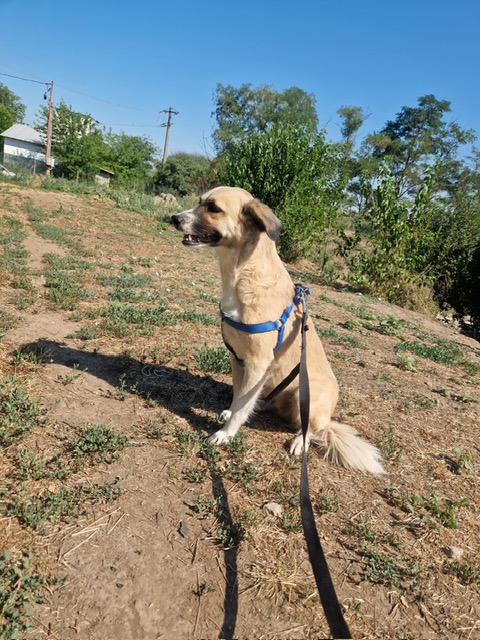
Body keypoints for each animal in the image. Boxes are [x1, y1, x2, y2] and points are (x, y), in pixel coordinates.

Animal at [172, 186, 385, 474]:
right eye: (199, 202)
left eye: (213, 208)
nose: (173, 218)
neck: (243, 274)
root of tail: (328, 420)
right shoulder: (238, 359)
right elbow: (239, 397)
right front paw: (231, 413)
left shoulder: (258, 363)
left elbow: (242, 404)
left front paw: (226, 433)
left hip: (306, 393)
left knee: (310, 429)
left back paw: (298, 442)